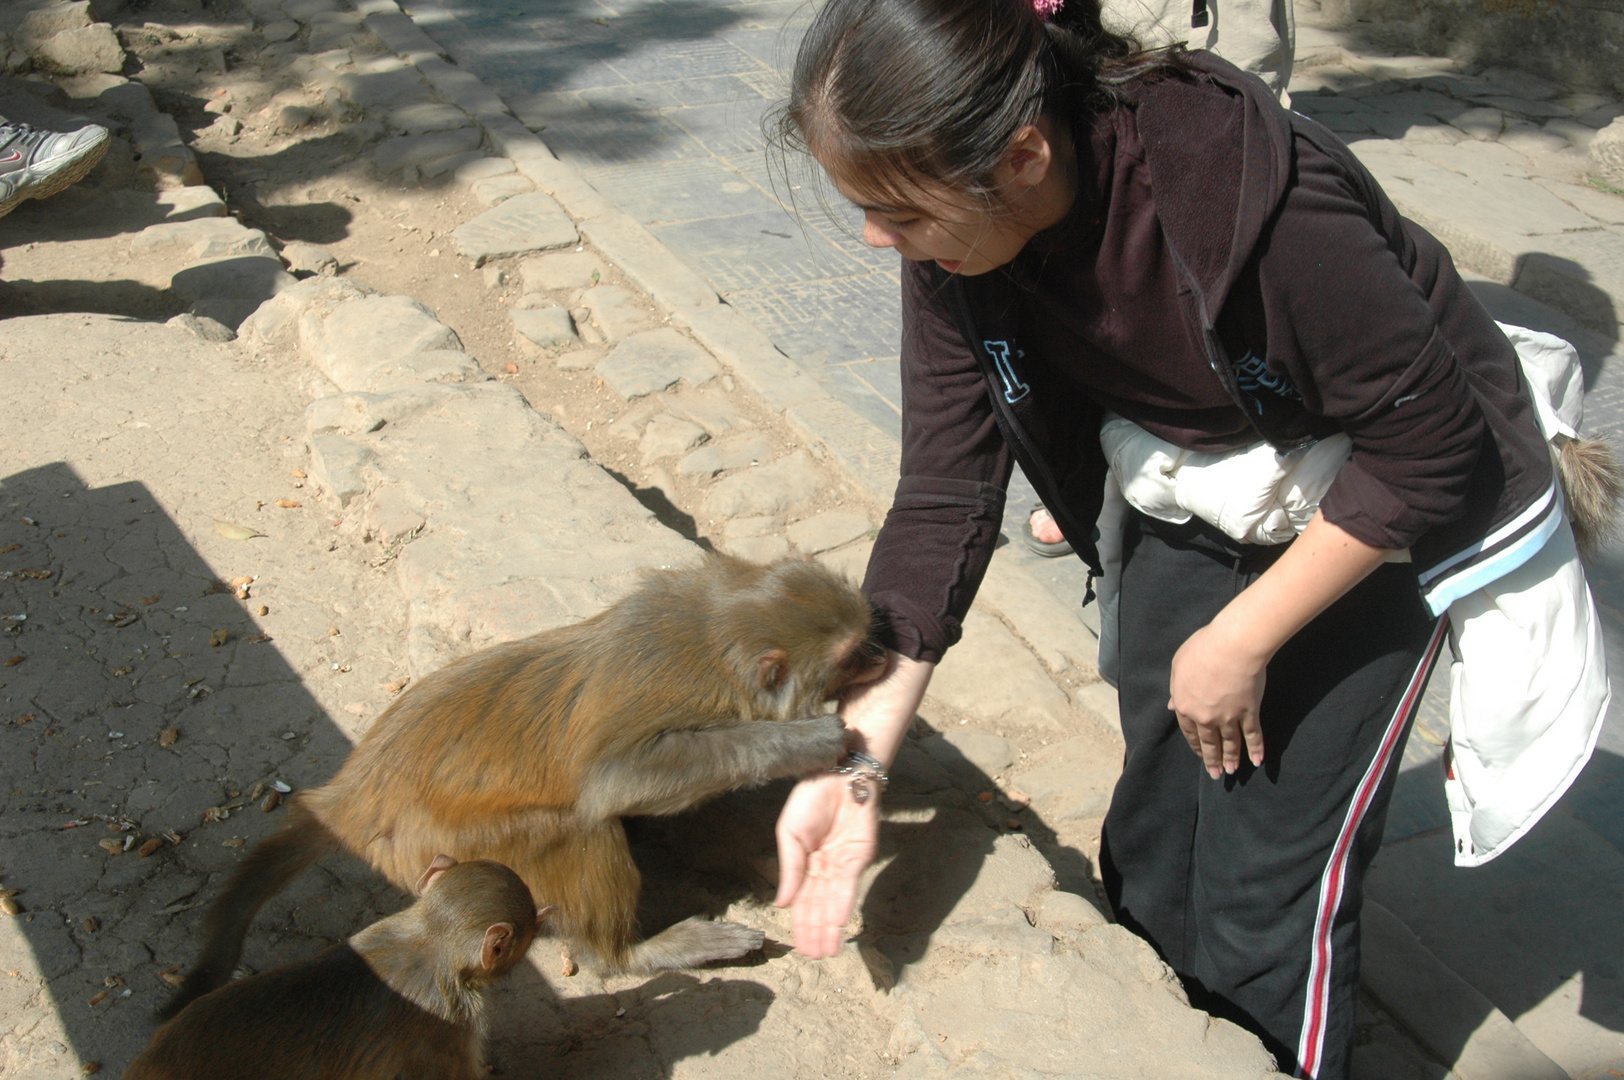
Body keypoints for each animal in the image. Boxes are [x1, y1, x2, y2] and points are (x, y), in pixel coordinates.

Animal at [161, 555, 889, 1019]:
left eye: (864, 639)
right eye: (852, 654)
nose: (886, 655)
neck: (711, 628)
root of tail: (355, 793)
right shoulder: (690, 696)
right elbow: (617, 777)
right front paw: (808, 742)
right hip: (446, 844)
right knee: (577, 827)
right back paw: (629, 952)